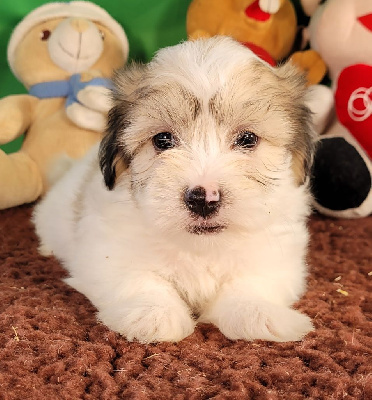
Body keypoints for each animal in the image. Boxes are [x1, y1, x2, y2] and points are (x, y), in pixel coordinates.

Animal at [32, 36, 316, 344]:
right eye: (163, 140)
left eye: (248, 139)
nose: (204, 199)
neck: (200, 247)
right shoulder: (106, 250)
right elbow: (139, 278)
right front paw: (152, 313)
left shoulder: (275, 254)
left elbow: (251, 282)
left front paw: (256, 311)